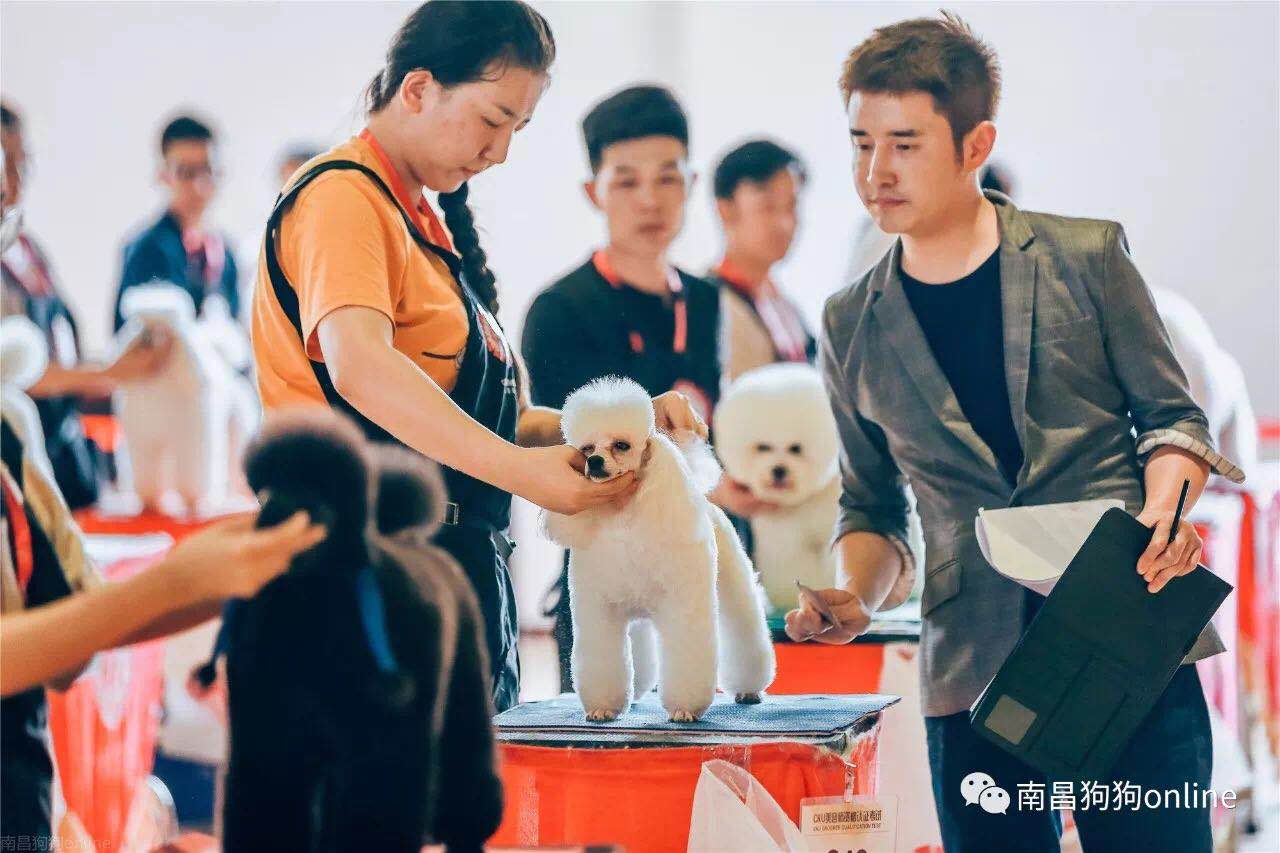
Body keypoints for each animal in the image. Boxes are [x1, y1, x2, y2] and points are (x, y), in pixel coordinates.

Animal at [112, 283, 258, 515]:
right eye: (141, 328)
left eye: (165, 331)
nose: (148, 339)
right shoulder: (145, 441)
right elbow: (147, 474)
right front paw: (150, 503)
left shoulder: (190, 439)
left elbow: (192, 475)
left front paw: (193, 502)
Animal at [219, 410, 502, 852]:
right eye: (265, 491)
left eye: (320, 495)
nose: (276, 516)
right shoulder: (271, 741)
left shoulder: (382, 747)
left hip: (463, 694)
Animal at [544, 377, 775, 723]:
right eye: (587, 449)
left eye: (621, 445)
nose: (594, 462)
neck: (625, 517)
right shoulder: (600, 611)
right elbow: (602, 659)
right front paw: (603, 708)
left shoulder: (682, 607)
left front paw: (684, 709)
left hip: (732, 586)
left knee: (745, 632)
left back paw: (749, 689)